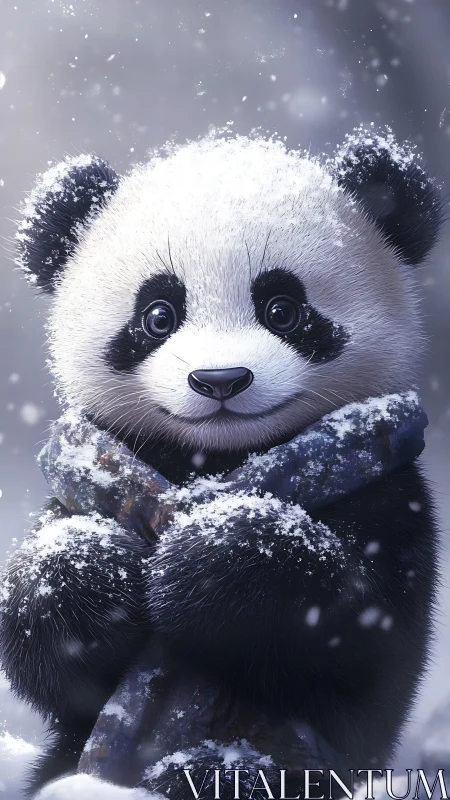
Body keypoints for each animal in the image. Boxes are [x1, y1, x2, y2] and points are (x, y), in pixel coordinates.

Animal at [0, 128, 442, 798]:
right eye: (158, 315)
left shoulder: (395, 496)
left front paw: (213, 559)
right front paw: (92, 573)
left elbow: (366, 636)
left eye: (282, 308)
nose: (220, 380)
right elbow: (46, 656)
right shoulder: (83, 484)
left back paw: (206, 767)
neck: (215, 460)